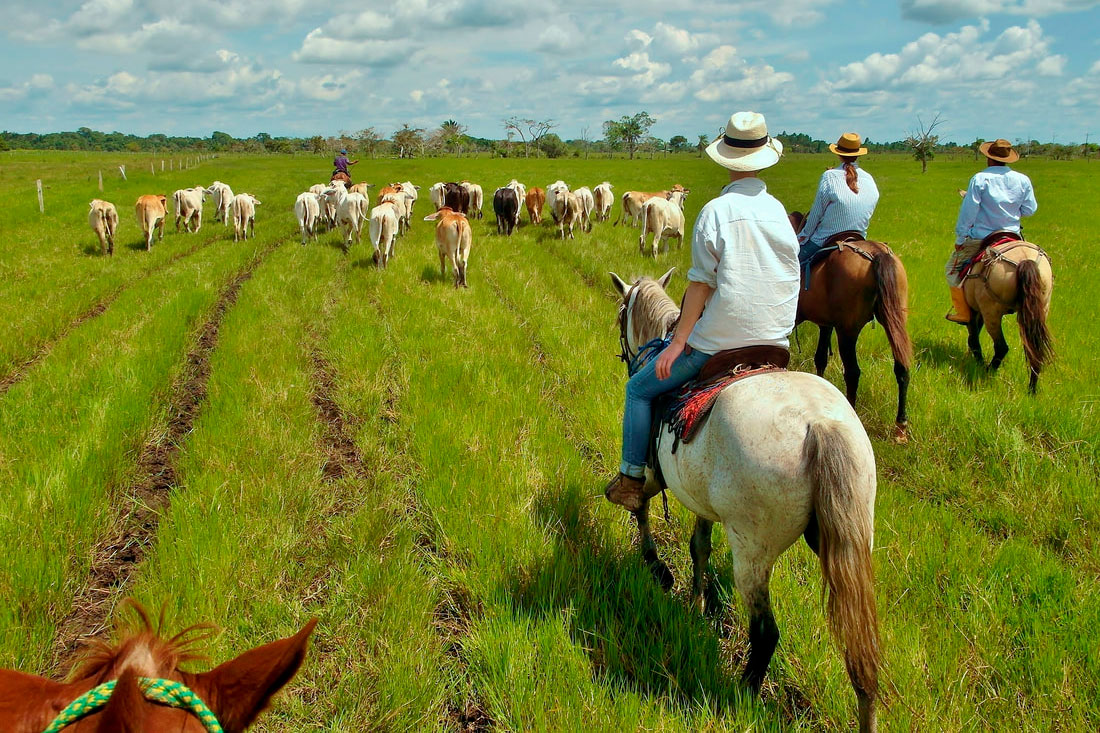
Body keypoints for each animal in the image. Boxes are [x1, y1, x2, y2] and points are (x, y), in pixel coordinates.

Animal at [607, 269, 880, 730]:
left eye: (621, 313)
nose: (626, 356)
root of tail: (820, 425)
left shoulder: (651, 471)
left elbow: (640, 507)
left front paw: (658, 569)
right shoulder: (700, 497)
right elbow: (698, 546)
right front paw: (697, 602)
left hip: (753, 548)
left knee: (765, 632)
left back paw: (743, 693)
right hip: (848, 540)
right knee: (858, 649)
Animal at [792, 211, 910, 440]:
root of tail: (877, 254)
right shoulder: (826, 324)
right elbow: (820, 358)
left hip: (847, 331)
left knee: (853, 373)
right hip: (894, 320)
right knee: (902, 367)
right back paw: (901, 426)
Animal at [963, 236, 1056, 391]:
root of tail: (1025, 261)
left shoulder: (974, 309)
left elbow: (973, 337)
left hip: (991, 312)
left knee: (1001, 347)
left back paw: (987, 371)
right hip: (1041, 308)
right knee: (1034, 350)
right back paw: (1031, 390)